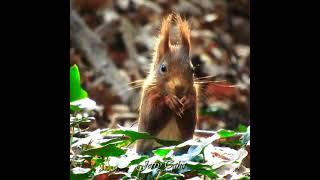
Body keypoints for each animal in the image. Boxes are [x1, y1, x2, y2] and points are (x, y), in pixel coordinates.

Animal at [136, 14, 198, 154]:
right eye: (163, 68)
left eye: (192, 69)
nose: (180, 88)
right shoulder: (148, 94)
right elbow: (150, 120)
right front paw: (169, 101)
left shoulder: (194, 93)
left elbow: (189, 124)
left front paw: (188, 101)